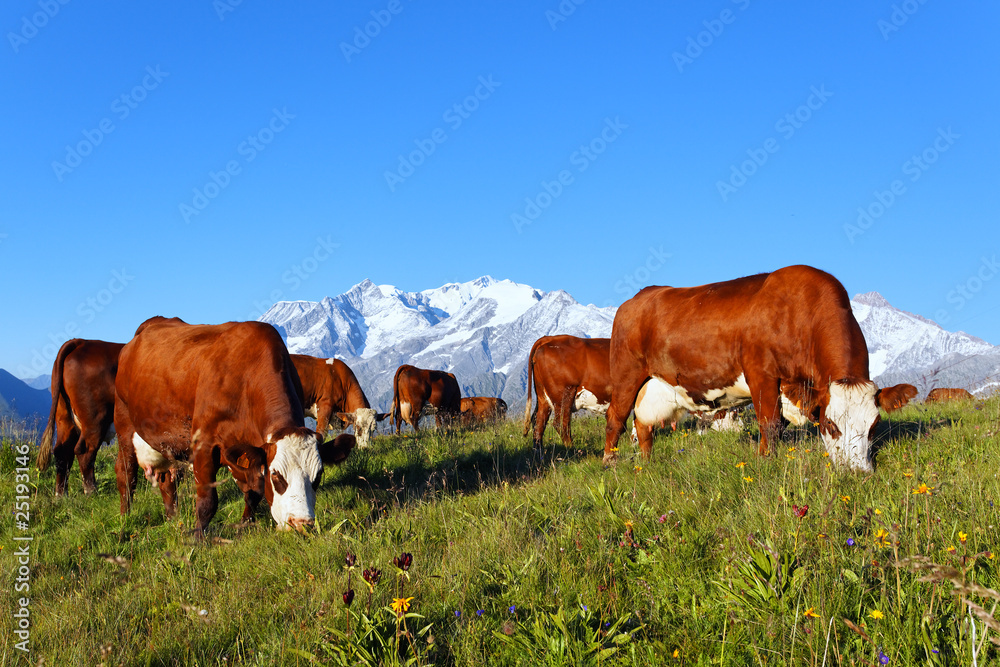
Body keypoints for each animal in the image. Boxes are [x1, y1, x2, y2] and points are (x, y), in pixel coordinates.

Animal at [36, 340, 125, 496]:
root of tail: (81, 341)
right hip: (95, 418)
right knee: (85, 451)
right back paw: (91, 491)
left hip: (64, 416)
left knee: (62, 451)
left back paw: (61, 494)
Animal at [115, 316, 356, 536]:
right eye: (276, 475)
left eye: (318, 475)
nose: (301, 524)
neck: (245, 382)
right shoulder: (204, 444)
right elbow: (207, 502)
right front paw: (198, 538)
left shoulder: (243, 452)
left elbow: (253, 492)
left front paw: (246, 522)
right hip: (124, 423)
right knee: (126, 473)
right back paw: (125, 518)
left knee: (167, 480)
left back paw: (172, 518)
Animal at [600, 266, 920, 474]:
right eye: (830, 424)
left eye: (874, 425)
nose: (858, 472)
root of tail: (639, 297)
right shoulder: (761, 374)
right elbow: (770, 423)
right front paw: (765, 461)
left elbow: (779, 424)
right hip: (626, 374)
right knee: (616, 418)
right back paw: (609, 462)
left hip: (656, 386)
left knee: (644, 424)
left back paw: (647, 462)